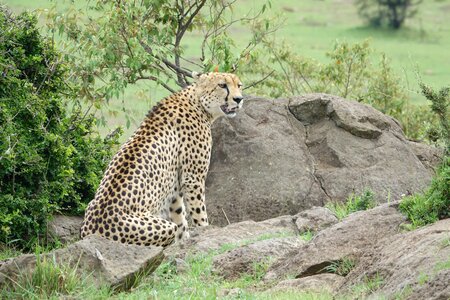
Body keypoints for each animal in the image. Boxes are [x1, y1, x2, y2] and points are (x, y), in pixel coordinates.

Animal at [80, 72, 243, 246]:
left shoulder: (175, 189)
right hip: (162, 227)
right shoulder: (193, 179)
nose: (239, 99)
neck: (197, 102)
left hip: (90, 204)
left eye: (239, 85)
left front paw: (185, 241)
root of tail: (92, 232)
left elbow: (180, 218)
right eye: (222, 85)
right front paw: (204, 231)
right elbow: (199, 212)